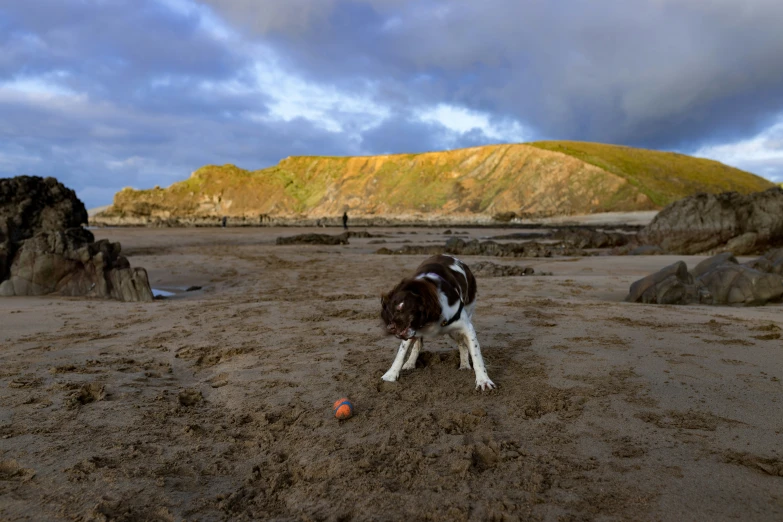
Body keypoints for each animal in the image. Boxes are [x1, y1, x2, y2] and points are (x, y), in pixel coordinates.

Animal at [380, 252, 496, 390]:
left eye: (402, 309)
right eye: (390, 311)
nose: (390, 328)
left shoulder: (466, 328)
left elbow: (476, 355)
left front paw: (483, 380)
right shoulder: (411, 330)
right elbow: (401, 353)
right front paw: (391, 375)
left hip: (459, 325)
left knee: (462, 344)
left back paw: (464, 365)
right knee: (417, 345)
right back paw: (410, 363)